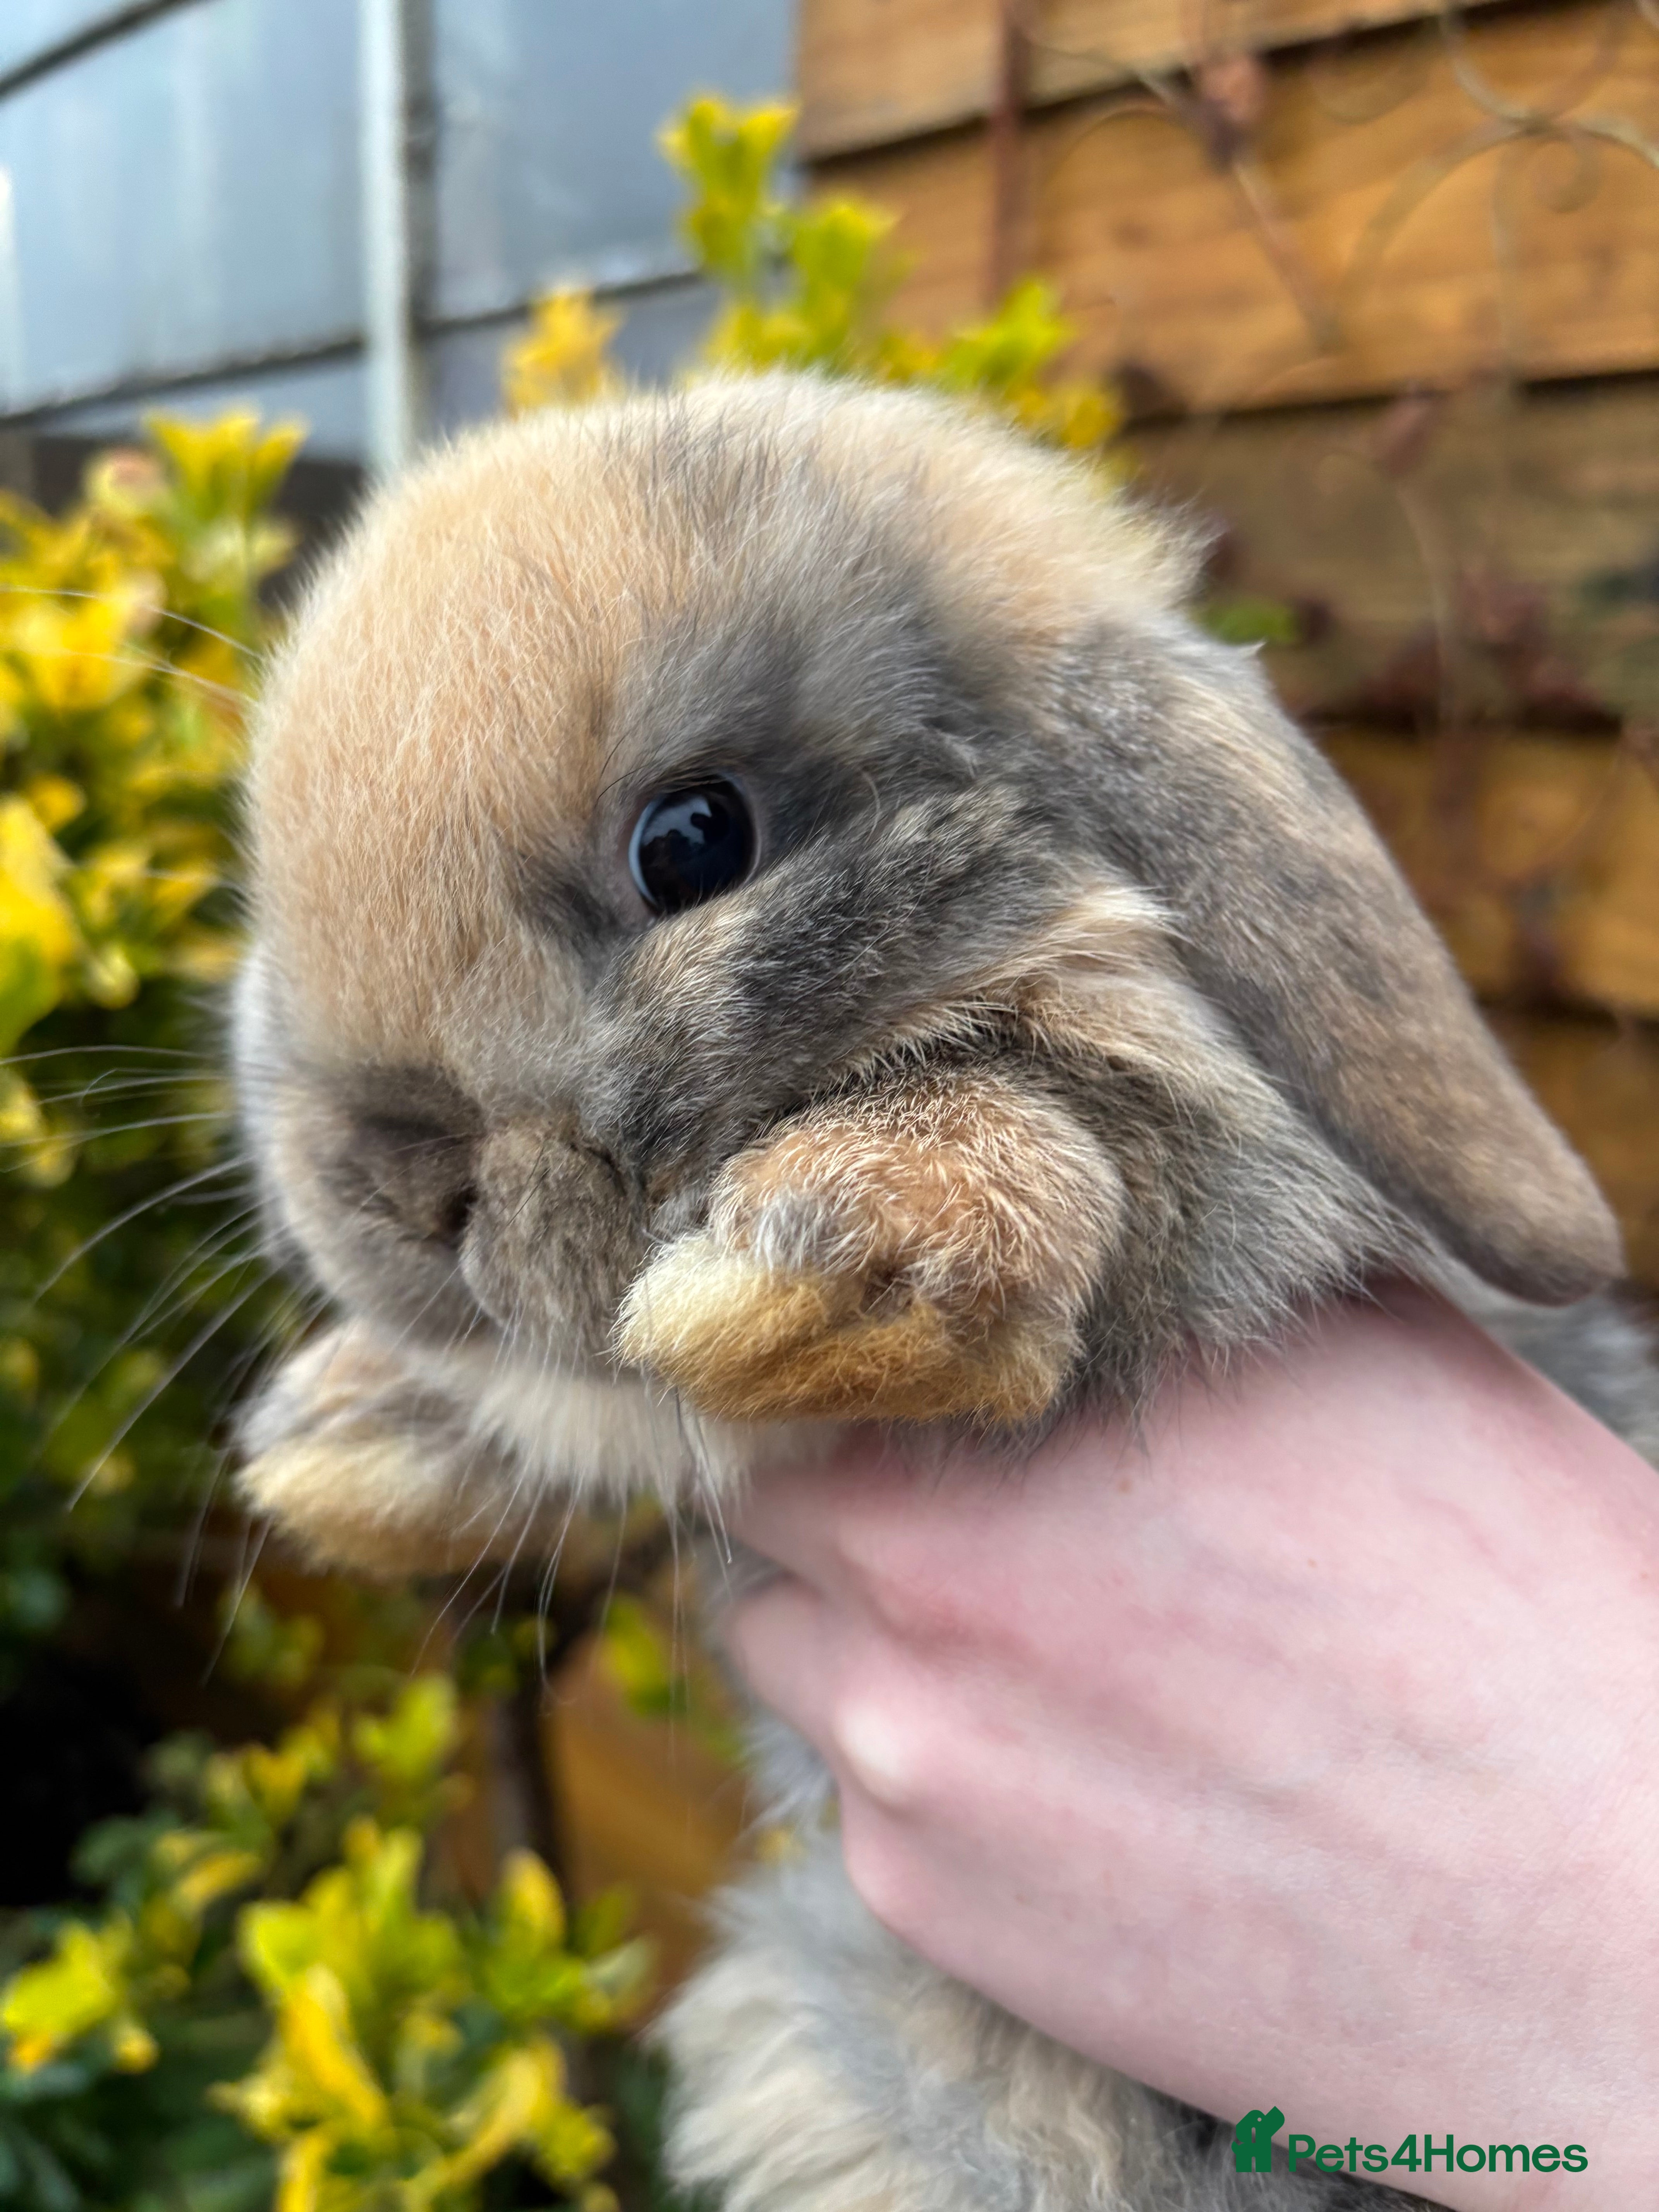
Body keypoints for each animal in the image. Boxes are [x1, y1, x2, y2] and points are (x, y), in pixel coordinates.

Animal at [231, 372, 1658, 2212]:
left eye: (693, 840)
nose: (390, 1182)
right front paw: (336, 1443)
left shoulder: (1224, 1171)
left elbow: (1077, 1158)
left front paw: (792, 1278)